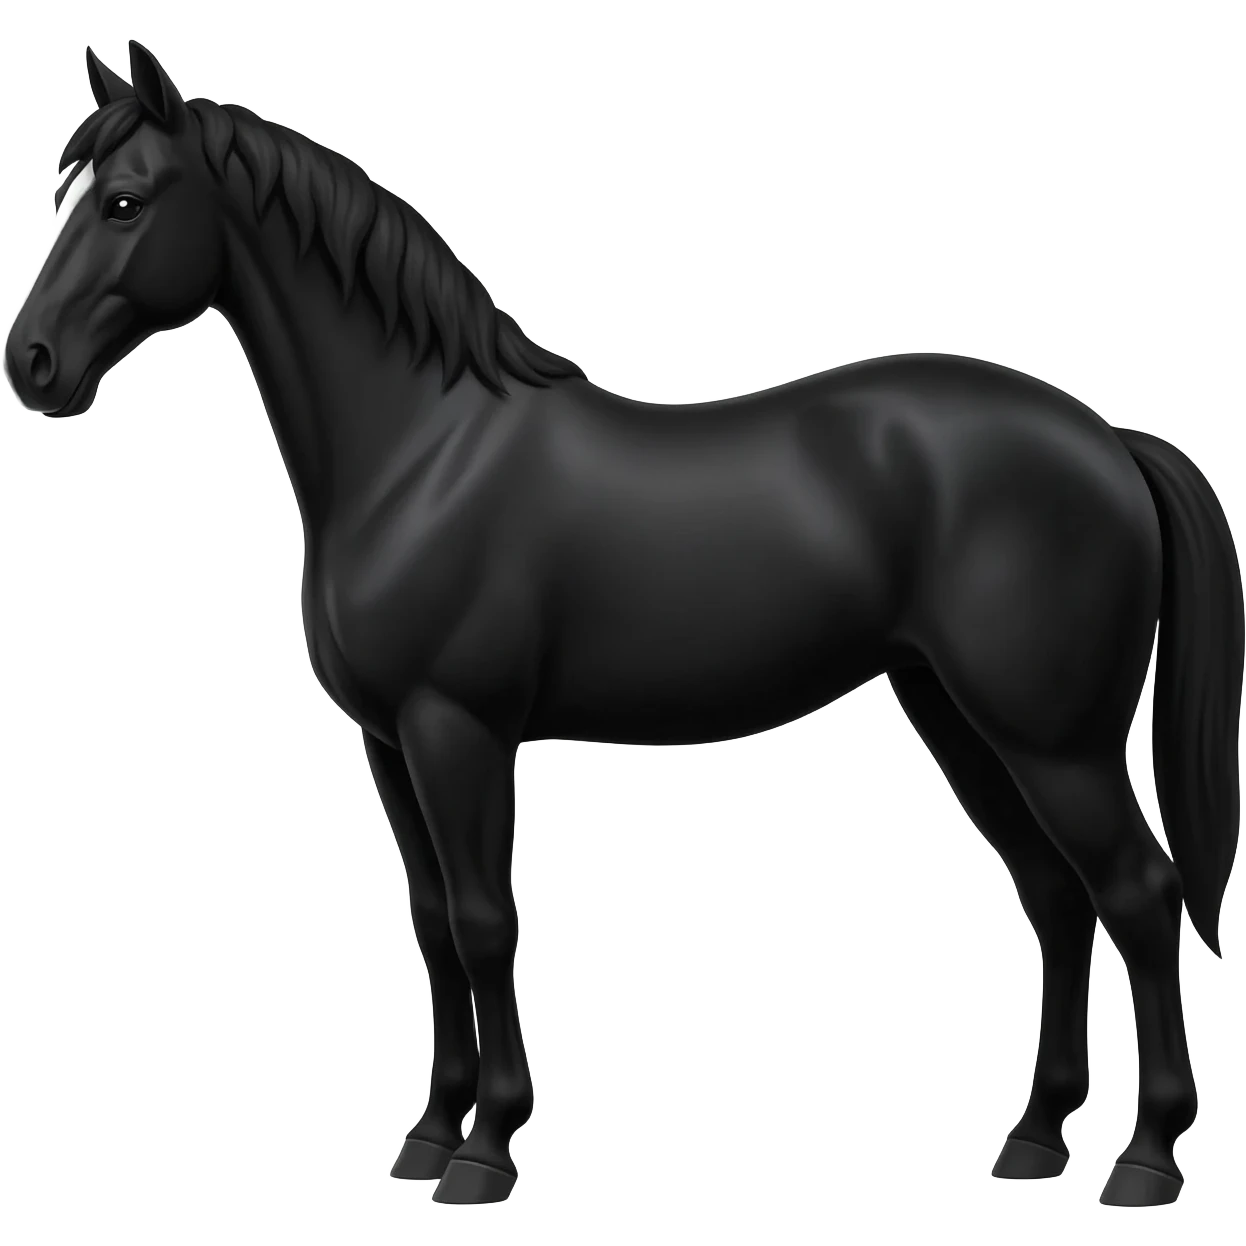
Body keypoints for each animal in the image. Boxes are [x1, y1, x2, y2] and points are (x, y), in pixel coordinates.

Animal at [3, 41, 1241, 1208]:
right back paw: (1034, 1139)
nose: (32, 364)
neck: (422, 453)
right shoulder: (389, 741)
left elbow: (483, 922)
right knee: (1054, 893)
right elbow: (431, 924)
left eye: (126, 201)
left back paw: (1144, 1157)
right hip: (958, 715)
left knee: (1135, 893)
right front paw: (428, 1134)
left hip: (1053, 739)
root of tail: (1107, 440)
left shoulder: (459, 730)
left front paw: (485, 1152)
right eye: (70, 195)